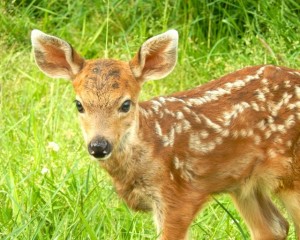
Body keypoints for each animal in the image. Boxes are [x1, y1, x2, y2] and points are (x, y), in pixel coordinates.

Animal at [31, 29, 298, 239]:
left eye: (126, 104)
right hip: (243, 184)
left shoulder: (178, 197)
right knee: (274, 227)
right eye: (79, 104)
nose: (99, 146)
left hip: (291, 172)